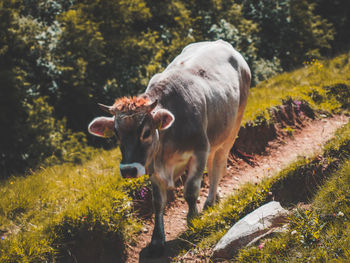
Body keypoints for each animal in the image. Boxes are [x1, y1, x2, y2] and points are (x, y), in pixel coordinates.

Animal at [89, 40, 250, 256]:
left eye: (146, 132)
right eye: (116, 134)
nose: (129, 170)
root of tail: (221, 43)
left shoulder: (200, 150)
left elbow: (190, 190)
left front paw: (193, 219)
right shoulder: (153, 166)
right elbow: (158, 202)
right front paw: (157, 239)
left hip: (232, 128)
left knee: (217, 165)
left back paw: (209, 201)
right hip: (214, 137)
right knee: (213, 164)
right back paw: (215, 196)